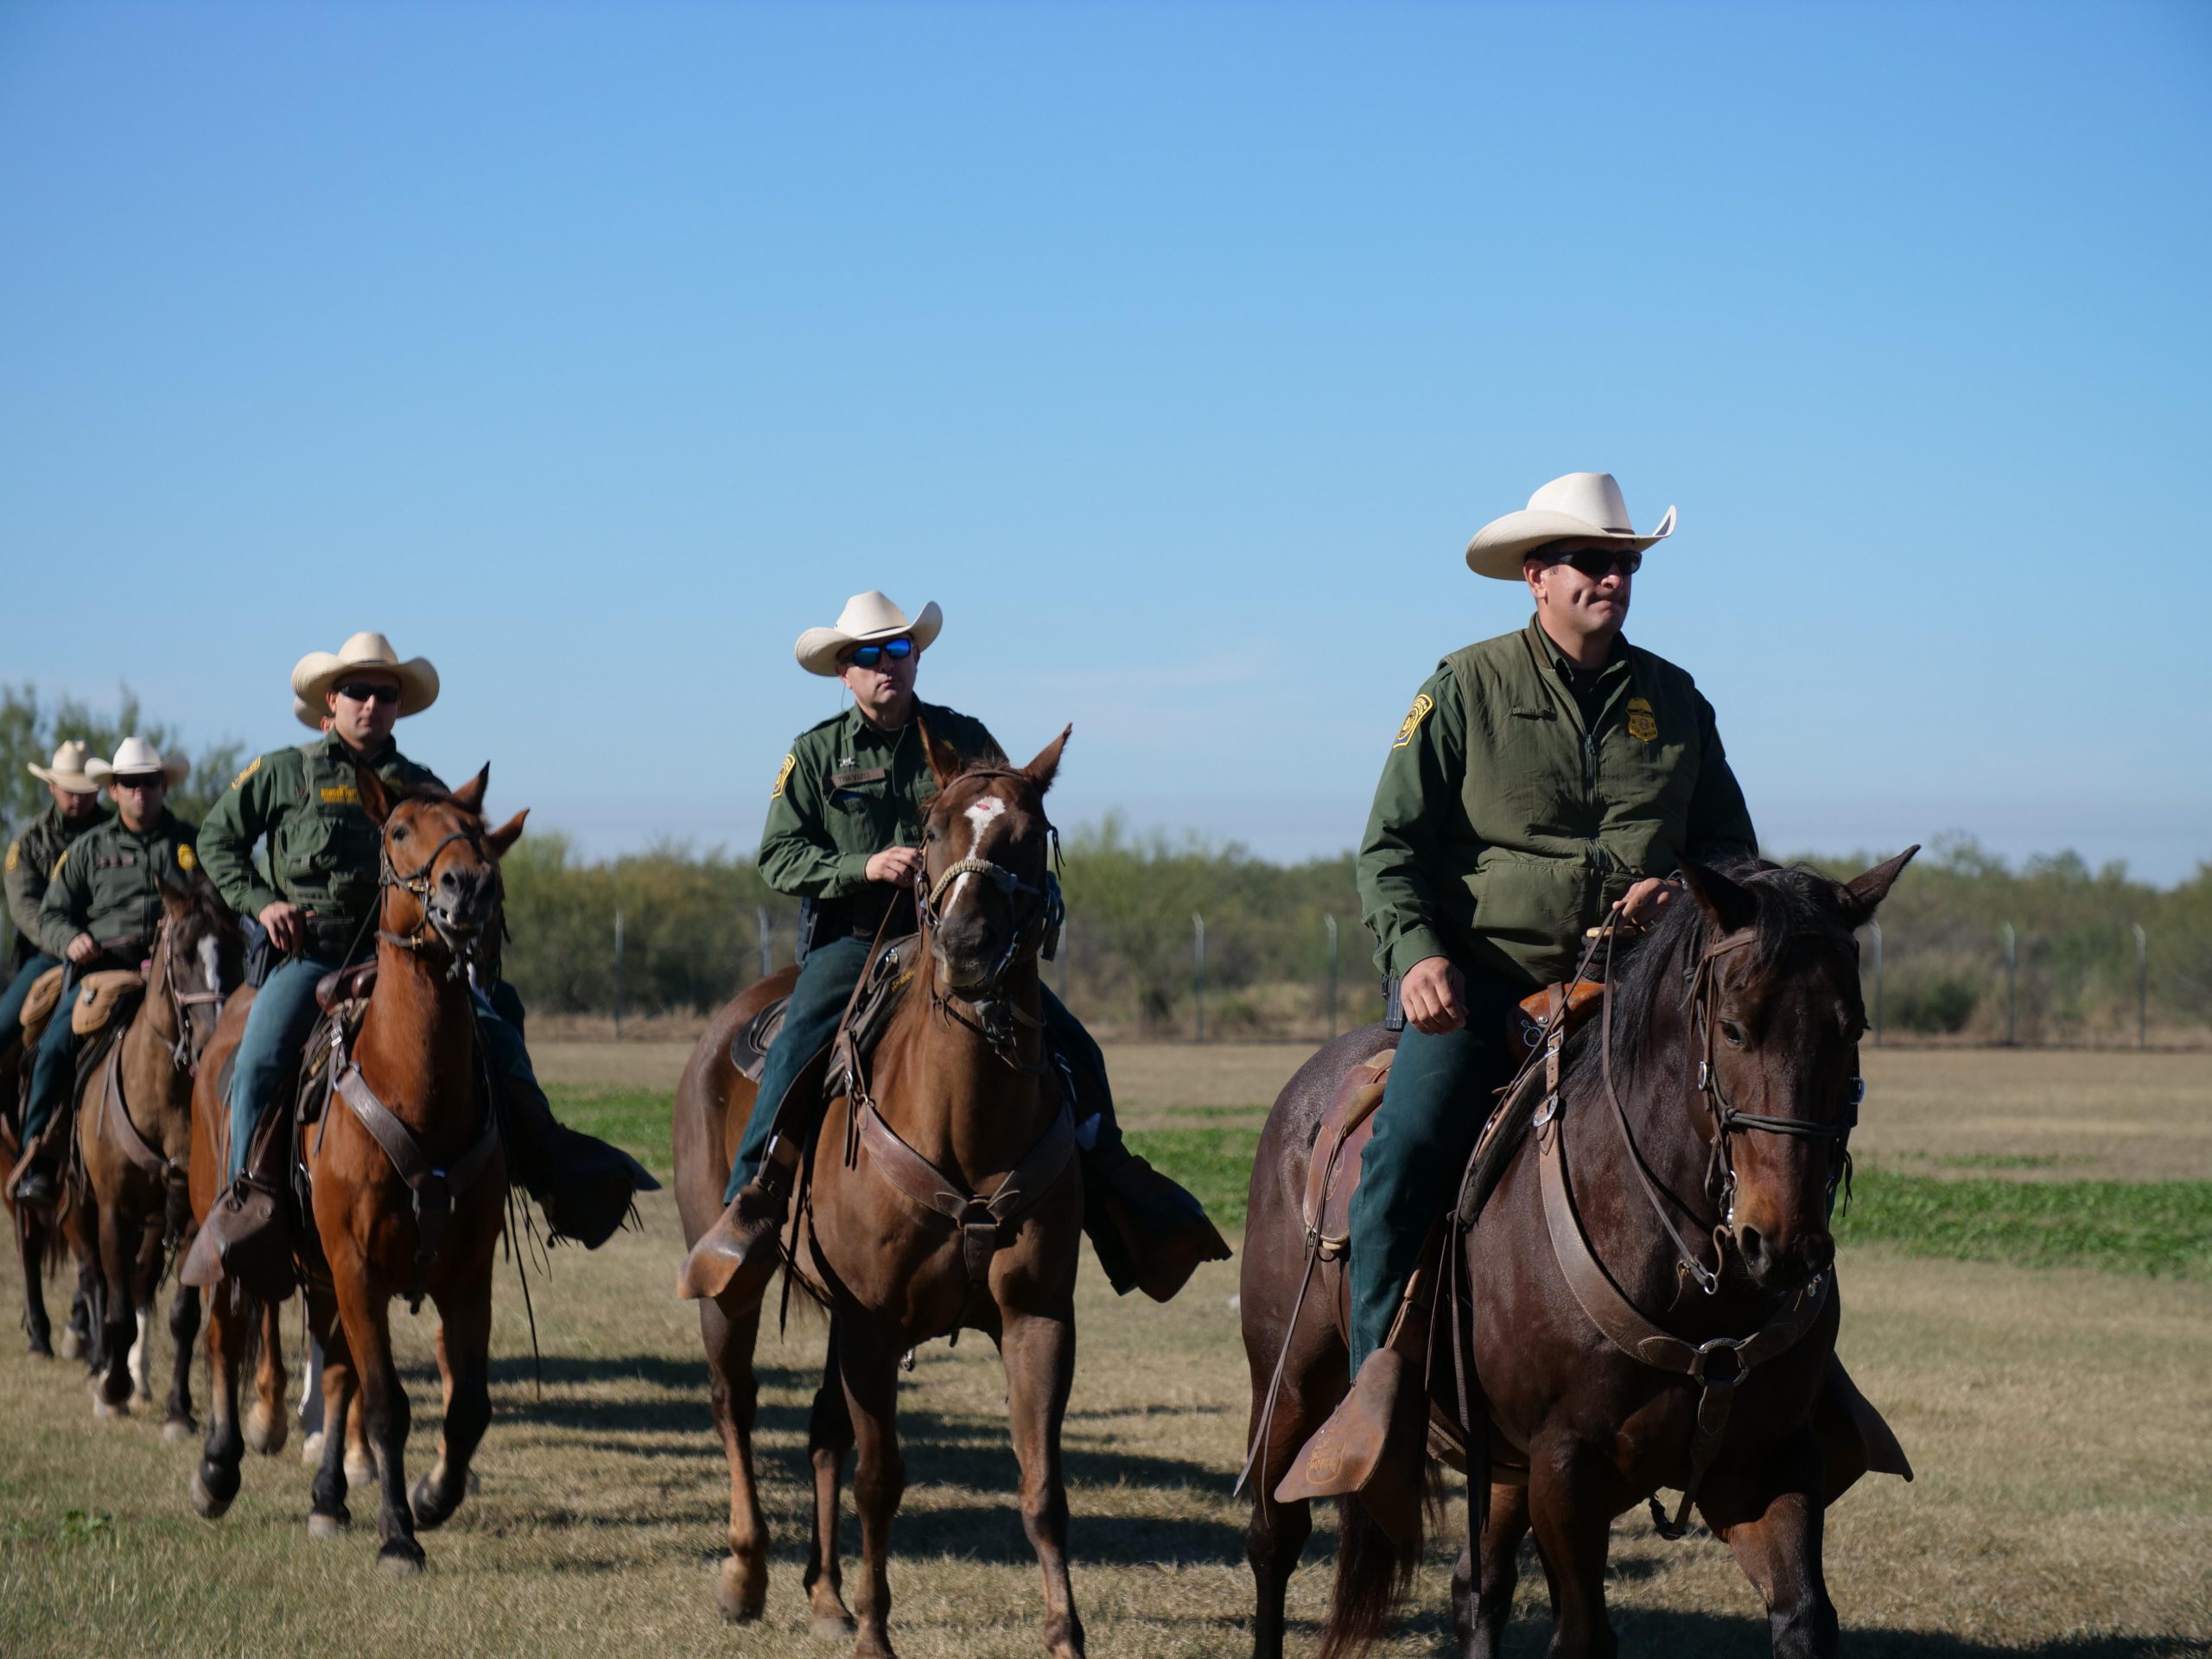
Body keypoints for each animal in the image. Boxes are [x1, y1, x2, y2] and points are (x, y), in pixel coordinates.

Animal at [184, 765, 522, 1574]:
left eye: (475, 826)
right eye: (397, 830)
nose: (469, 887)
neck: (415, 1088)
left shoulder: (465, 1273)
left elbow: (467, 1406)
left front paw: (431, 1497)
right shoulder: (359, 1265)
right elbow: (388, 1402)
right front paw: (398, 1532)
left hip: (319, 1268)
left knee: (335, 1369)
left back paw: (329, 1498)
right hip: (230, 1232)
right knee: (223, 1334)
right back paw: (217, 1469)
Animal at [672, 725, 1088, 1659]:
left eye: (1026, 833)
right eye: (930, 830)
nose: (967, 946)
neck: (964, 1123)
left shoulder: (1037, 1318)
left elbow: (1042, 1487)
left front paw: (1064, 1634)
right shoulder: (874, 1324)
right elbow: (880, 1480)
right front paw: (875, 1635)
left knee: (822, 1431)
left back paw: (826, 1598)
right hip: (732, 1290)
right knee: (735, 1404)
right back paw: (745, 1575)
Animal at [1247, 858, 1920, 1659]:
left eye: (1851, 1030)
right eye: (1733, 1028)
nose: (1783, 1245)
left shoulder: (1771, 1460)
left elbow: (1804, 1616)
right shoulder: (1567, 1472)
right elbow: (1584, 1634)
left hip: (1499, 1459)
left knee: (1477, 1589)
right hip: (1290, 1380)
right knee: (1274, 1537)